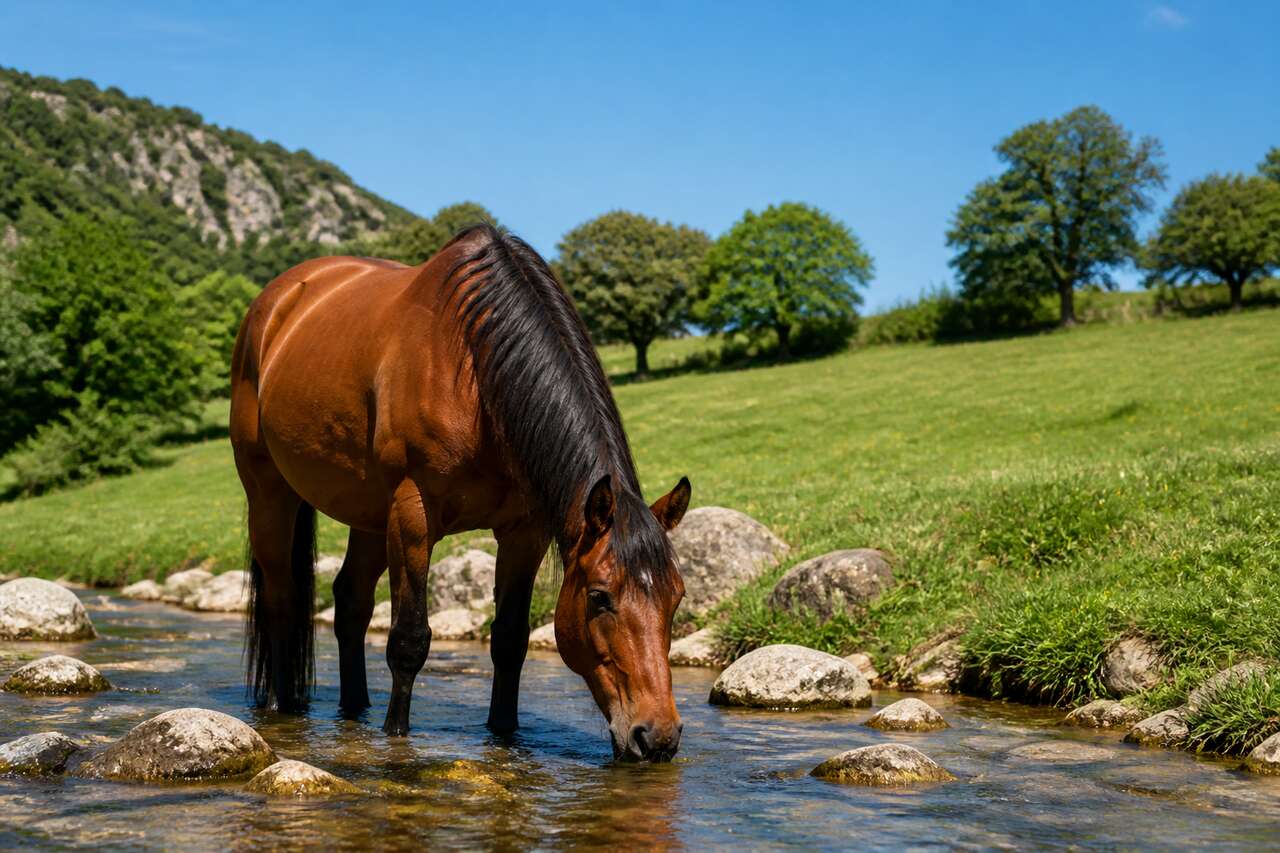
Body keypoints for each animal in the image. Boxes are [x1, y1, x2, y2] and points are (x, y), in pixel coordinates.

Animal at [228, 223, 691, 761]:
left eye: (677, 597)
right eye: (599, 597)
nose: (656, 736)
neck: (474, 371)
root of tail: (274, 304)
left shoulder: (524, 532)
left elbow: (510, 640)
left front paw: (504, 733)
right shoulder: (413, 515)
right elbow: (409, 639)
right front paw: (397, 738)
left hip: (369, 514)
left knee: (350, 602)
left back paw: (354, 709)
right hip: (271, 494)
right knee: (281, 598)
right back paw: (285, 708)